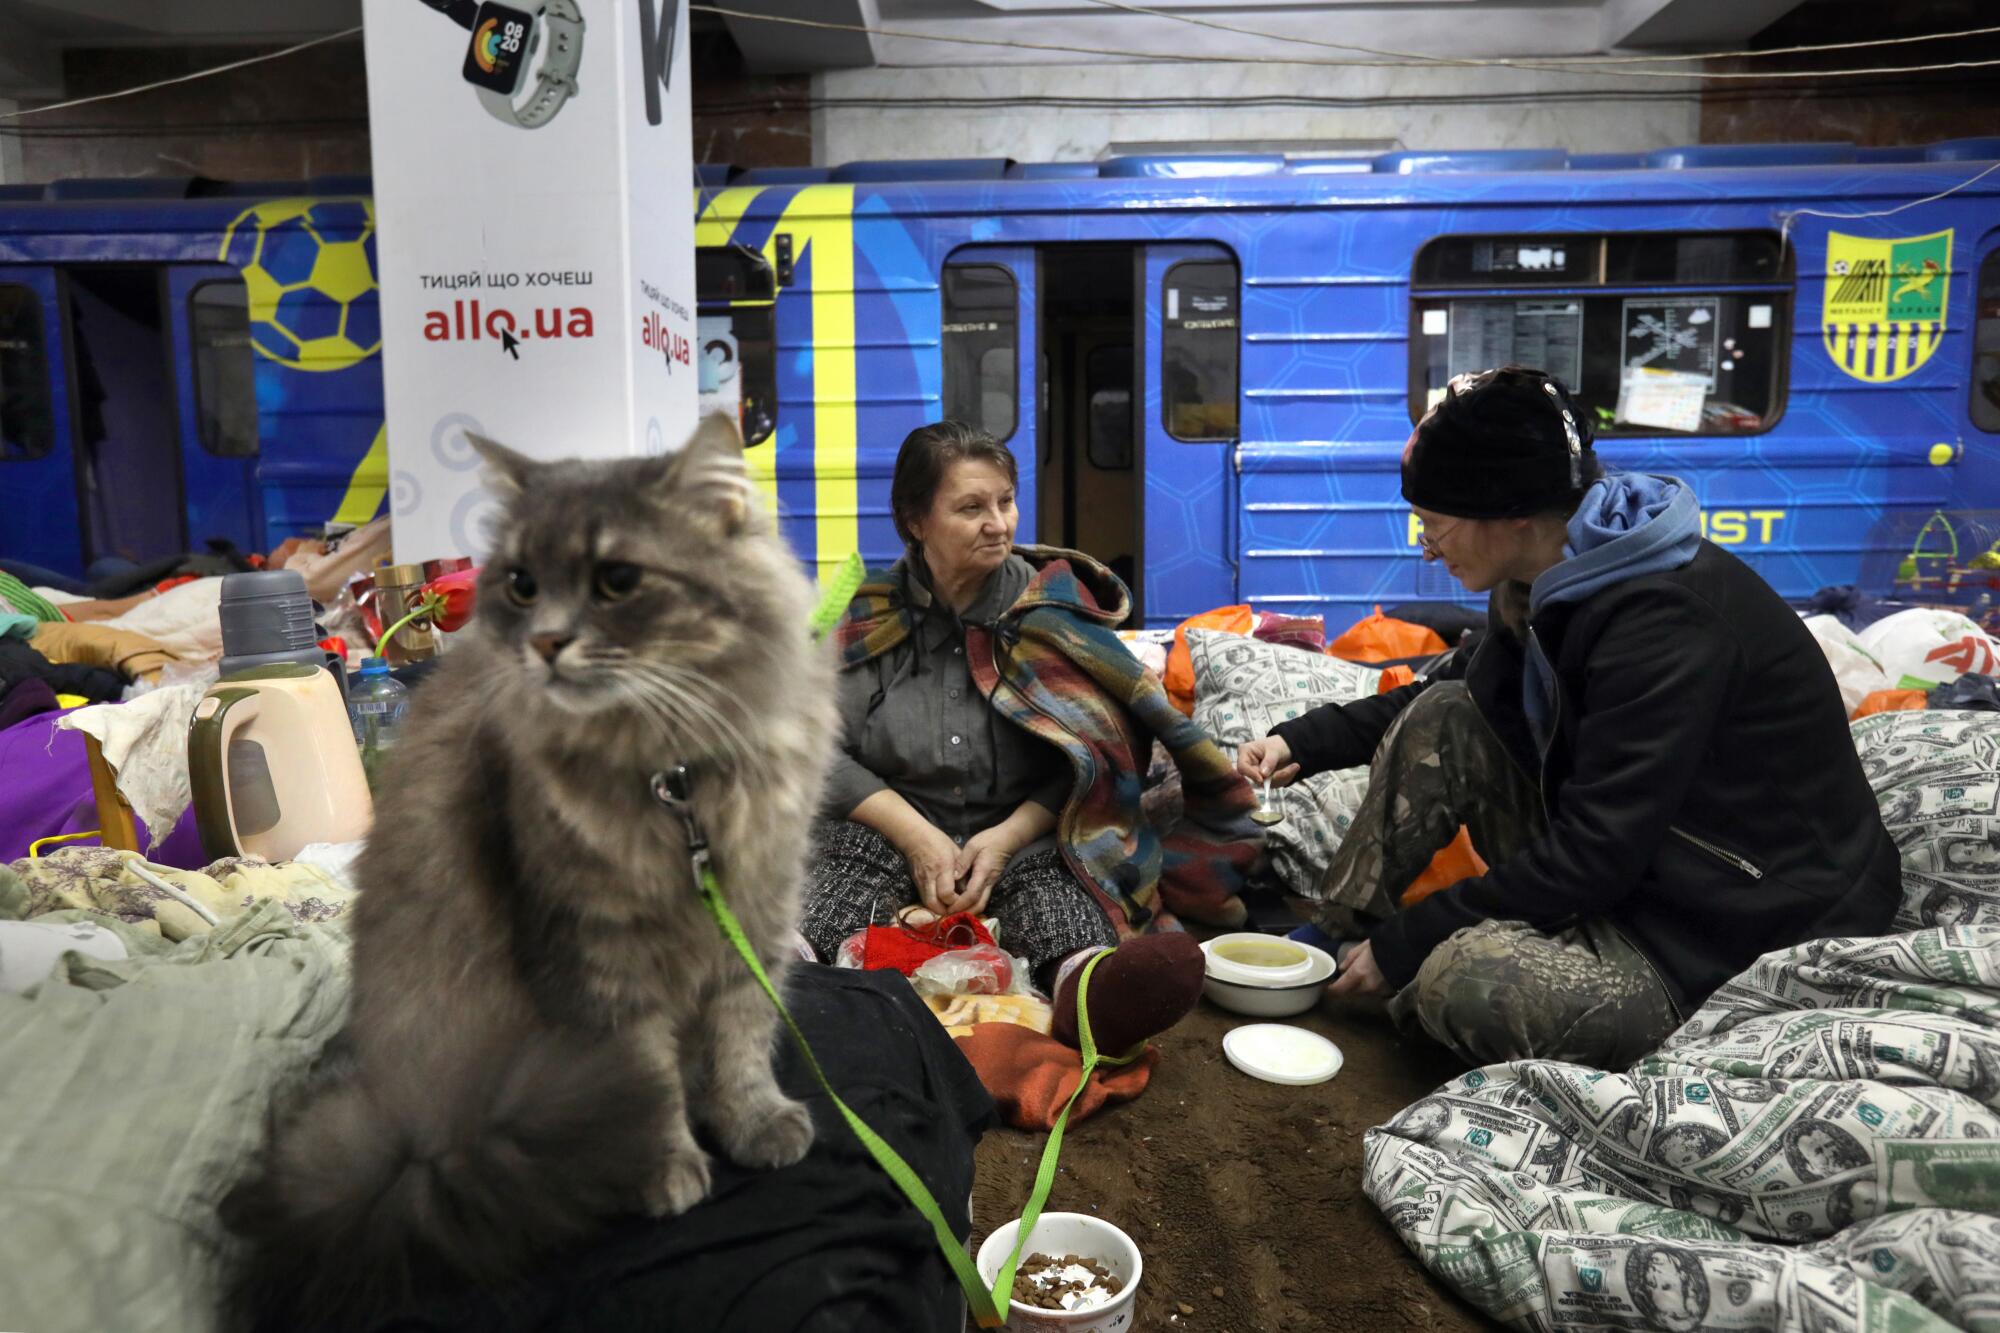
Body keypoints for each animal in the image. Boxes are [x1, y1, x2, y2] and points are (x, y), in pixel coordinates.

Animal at [227, 412, 836, 1320]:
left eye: (618, 579)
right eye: (520, 584)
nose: (547, 642)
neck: (674, 775)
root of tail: (416, 1139)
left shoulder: (752, 917)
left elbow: (741, 1042)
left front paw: (755, 1124)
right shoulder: (596, 955)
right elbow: (648, 1077)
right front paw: (665, 1168)